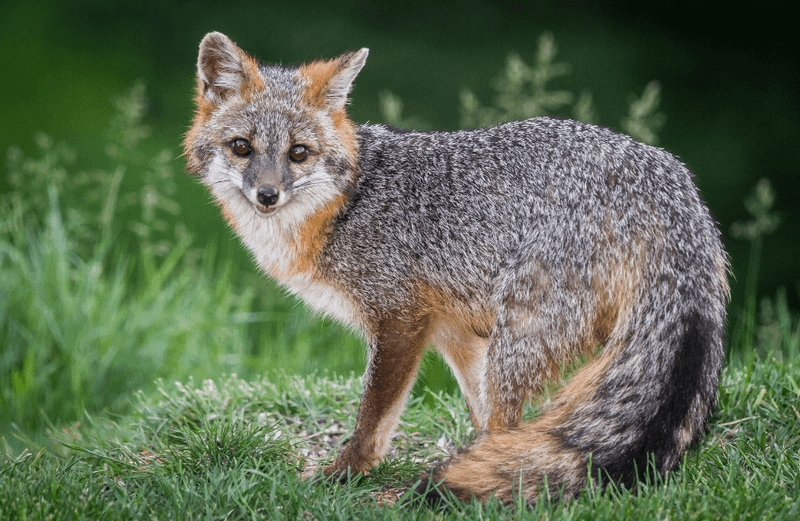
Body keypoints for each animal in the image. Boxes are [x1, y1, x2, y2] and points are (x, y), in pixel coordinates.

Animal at [184, 32, 730, 504]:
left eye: (298, 153)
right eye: (242, 147)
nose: (267, 195)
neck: (348, 205)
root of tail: (670, 183)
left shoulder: (400, 322)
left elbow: (373, 419)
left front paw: (346, 473)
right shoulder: (455, 334)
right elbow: (479, 416)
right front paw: (477, 464)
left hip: (519, 338)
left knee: (512, 420)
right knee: (508, 425)